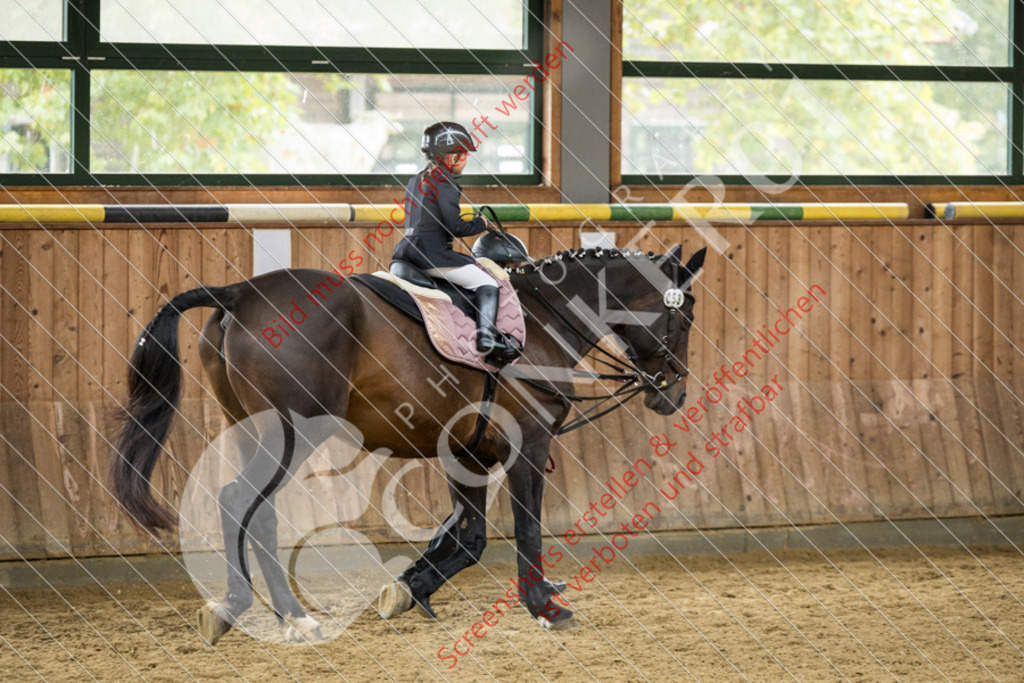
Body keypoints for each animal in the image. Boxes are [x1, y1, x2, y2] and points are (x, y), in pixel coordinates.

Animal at [110, 242, 704, 643]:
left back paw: (254, 609)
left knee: (253, 511)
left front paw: (408, 588)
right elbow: (527, 529)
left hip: (253, 432)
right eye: (685, 314)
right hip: (292, 434)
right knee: (241, 502)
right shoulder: (527, 448)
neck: (539, 322)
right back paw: (284, 614)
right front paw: (542, 605)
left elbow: (470, 539)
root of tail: (239, 292)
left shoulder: (466, 453)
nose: (673, 393)